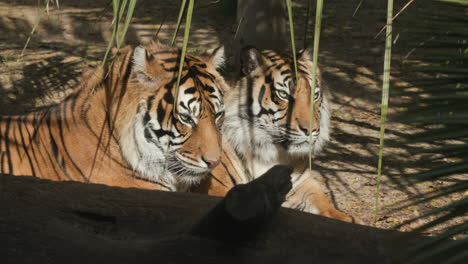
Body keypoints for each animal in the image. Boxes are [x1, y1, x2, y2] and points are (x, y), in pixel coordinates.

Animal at [195, 46, 358, 224]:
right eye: (284, 95)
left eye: (315, 96)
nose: (312, 129)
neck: (271, 153)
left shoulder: (304, 184)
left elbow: (324, 205)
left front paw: (347, 218)